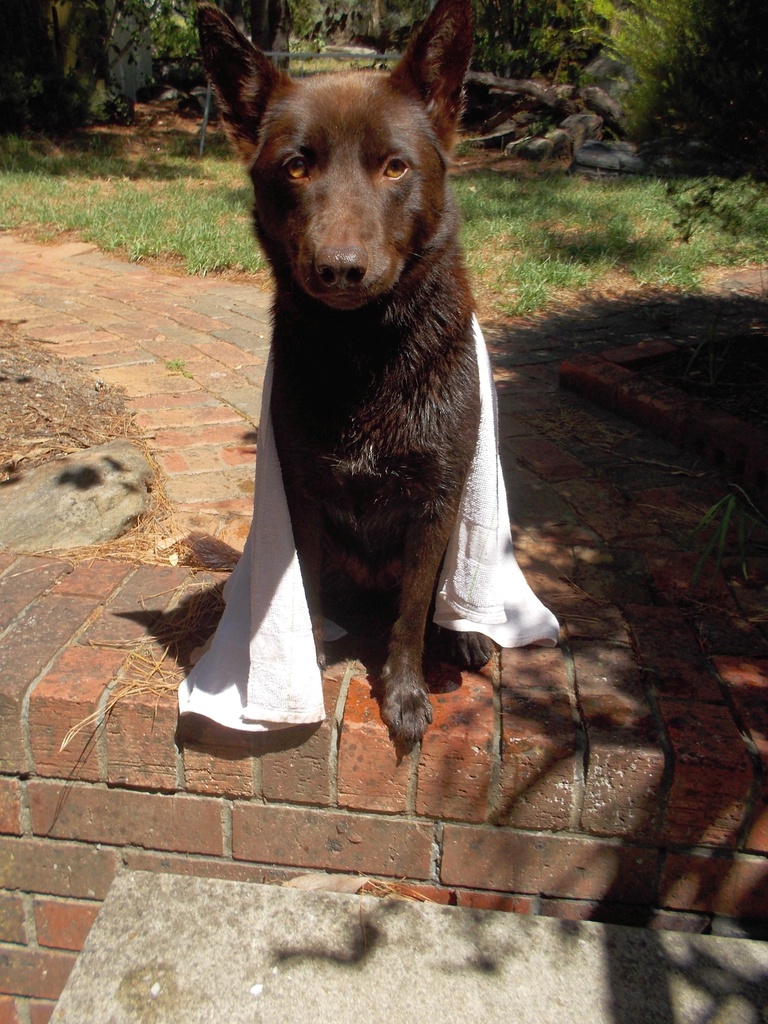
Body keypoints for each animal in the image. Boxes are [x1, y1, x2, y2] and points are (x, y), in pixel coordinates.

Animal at [198, 0, 493, 753]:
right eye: (297, 168)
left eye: (395, 167)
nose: (340, 269)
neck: (364, 352)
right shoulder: (302, 494)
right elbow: (303, 590)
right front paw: (304, 660)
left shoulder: (436, 505)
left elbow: (413, 614)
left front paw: (406, 693)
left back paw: (467, 636)